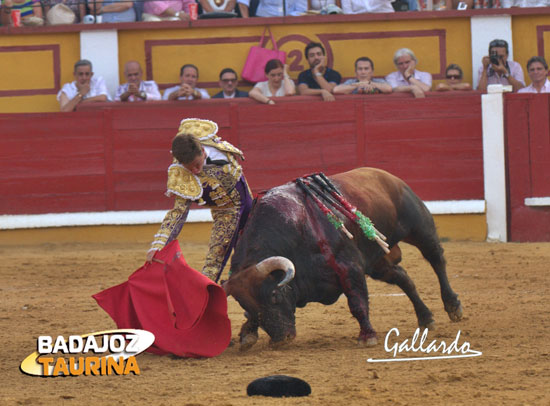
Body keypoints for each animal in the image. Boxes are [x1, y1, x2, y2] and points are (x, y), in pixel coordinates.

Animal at [224, 167, 466, 350]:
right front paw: (247, 334)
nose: (282, 338)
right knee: (403, 278)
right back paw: (426, 318)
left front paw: (367, 336)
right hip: (377, 262)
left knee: (436, 260)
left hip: (419, 227)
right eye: (245, 304)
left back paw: (453, 306)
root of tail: (388, 176)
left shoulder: (349, 267)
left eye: (274, 296)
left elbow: (357, 302)